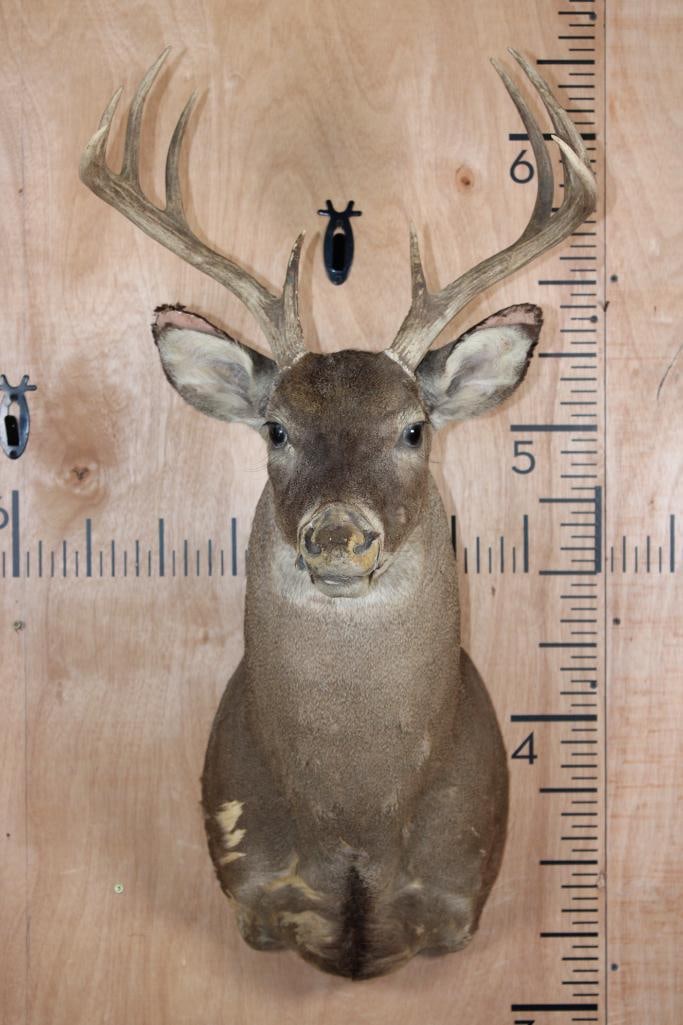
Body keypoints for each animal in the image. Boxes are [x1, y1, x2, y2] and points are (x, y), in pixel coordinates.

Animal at [80, 48, 596, 980]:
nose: (337, 536)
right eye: (277, 428)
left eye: (414, 427)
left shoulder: (457, 892)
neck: (354, 820)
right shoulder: (253, 891)